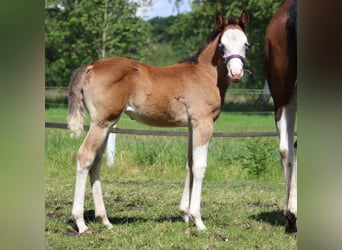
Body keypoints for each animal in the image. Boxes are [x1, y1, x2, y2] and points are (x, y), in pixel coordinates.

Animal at [68, 11, 248, 234]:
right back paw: (81, 223)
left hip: (106, 124)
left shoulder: (191, 125)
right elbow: (199, 167)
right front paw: (198, 220)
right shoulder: (203, 123)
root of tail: (92, 66)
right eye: (222, 45)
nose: (237, 74)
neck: (204, 75)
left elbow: (189, 163)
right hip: (101, 123)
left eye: (246, 44)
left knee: (96, 162)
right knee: (85, 156)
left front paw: (185, 215)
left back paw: (105, 220)